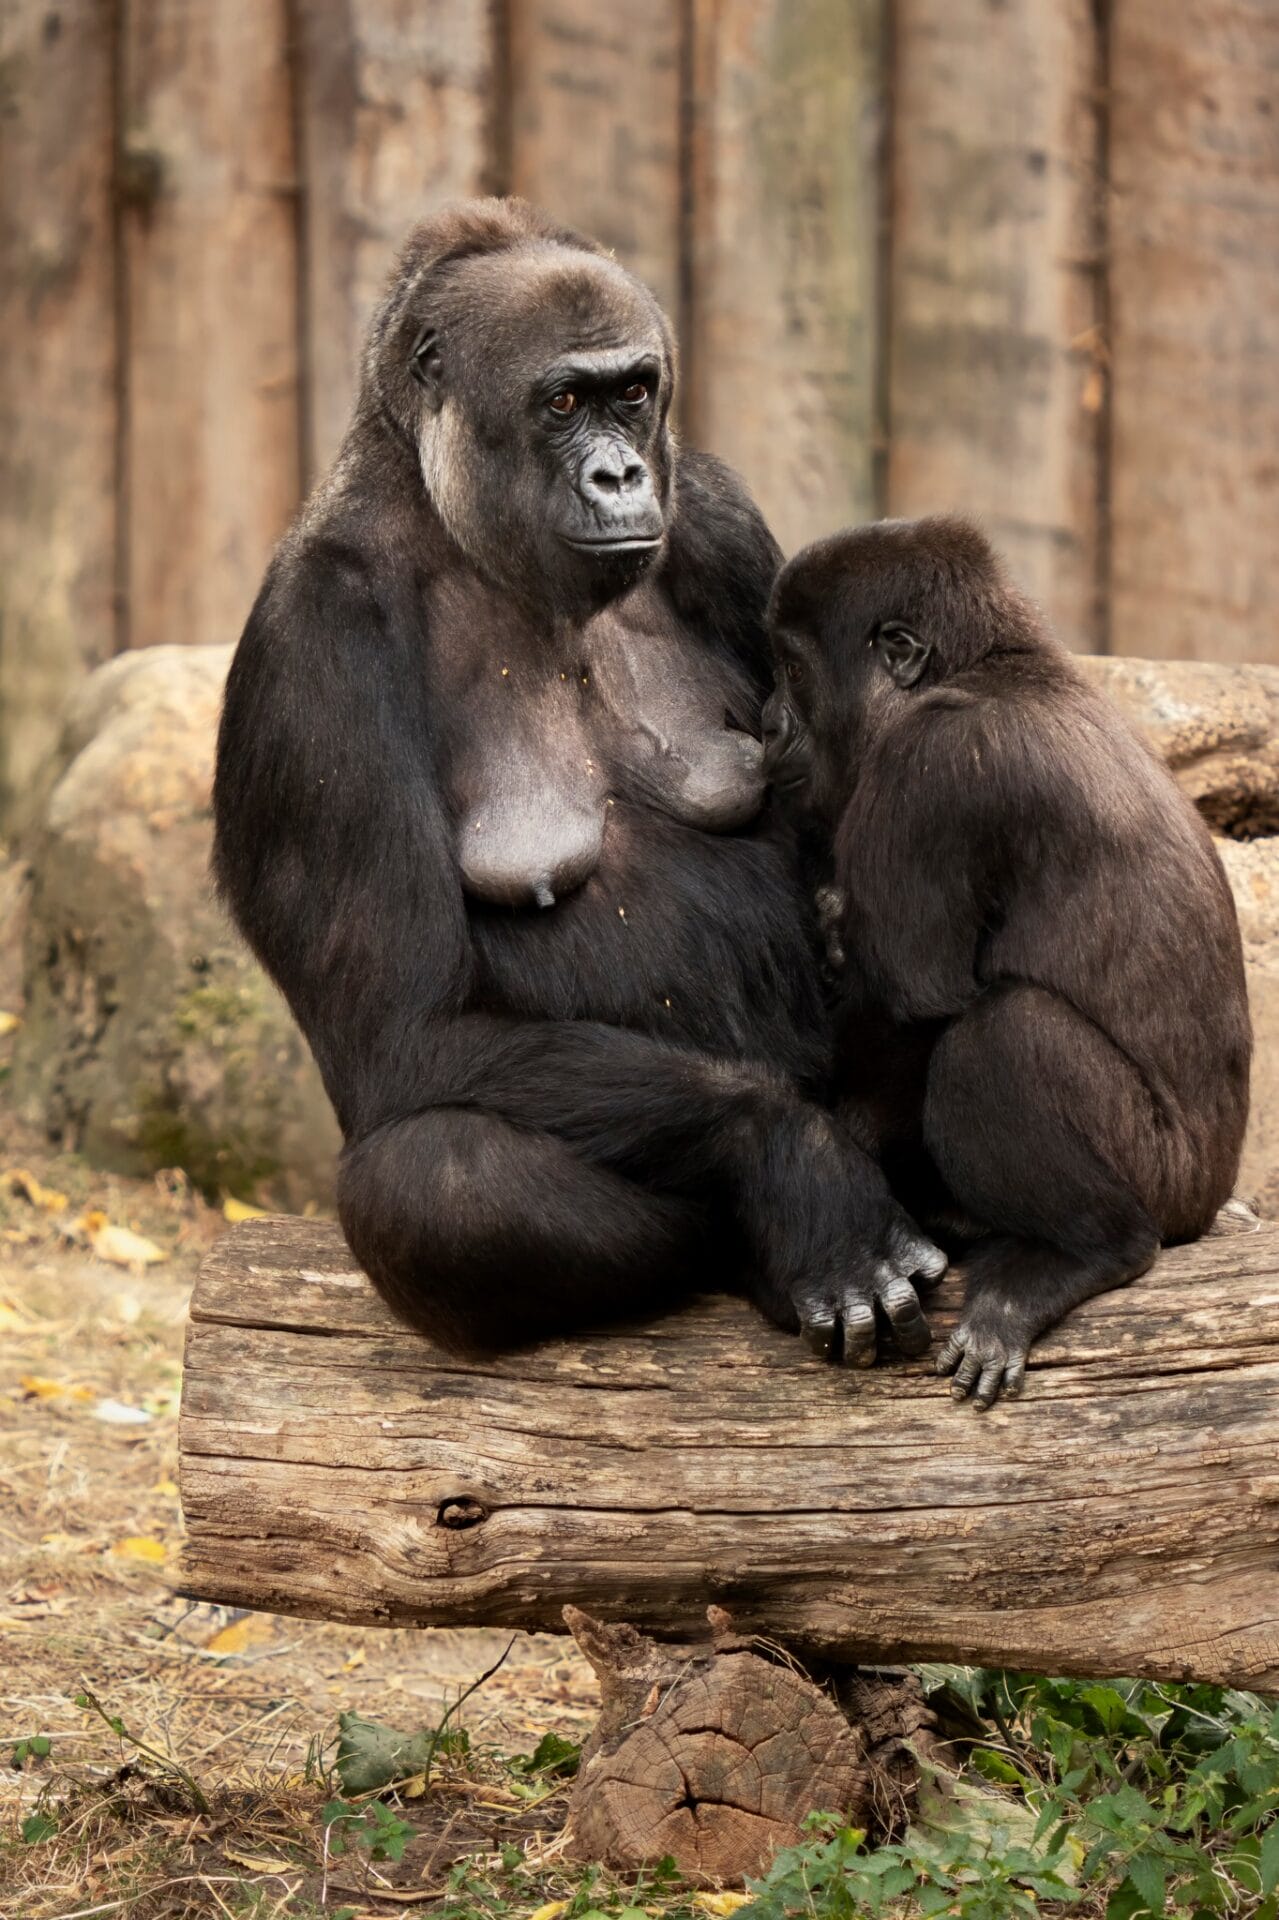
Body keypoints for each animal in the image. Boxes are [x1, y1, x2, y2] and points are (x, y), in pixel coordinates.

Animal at [763, 514, 1251, 1406]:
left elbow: (912, 1008)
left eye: (791, 671)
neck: (993, 666)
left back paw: (1085, 1250)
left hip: (1164, 1183)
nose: (766, 722)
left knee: (1002, 1034)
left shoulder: (931, 765)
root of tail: (1206, 1203)